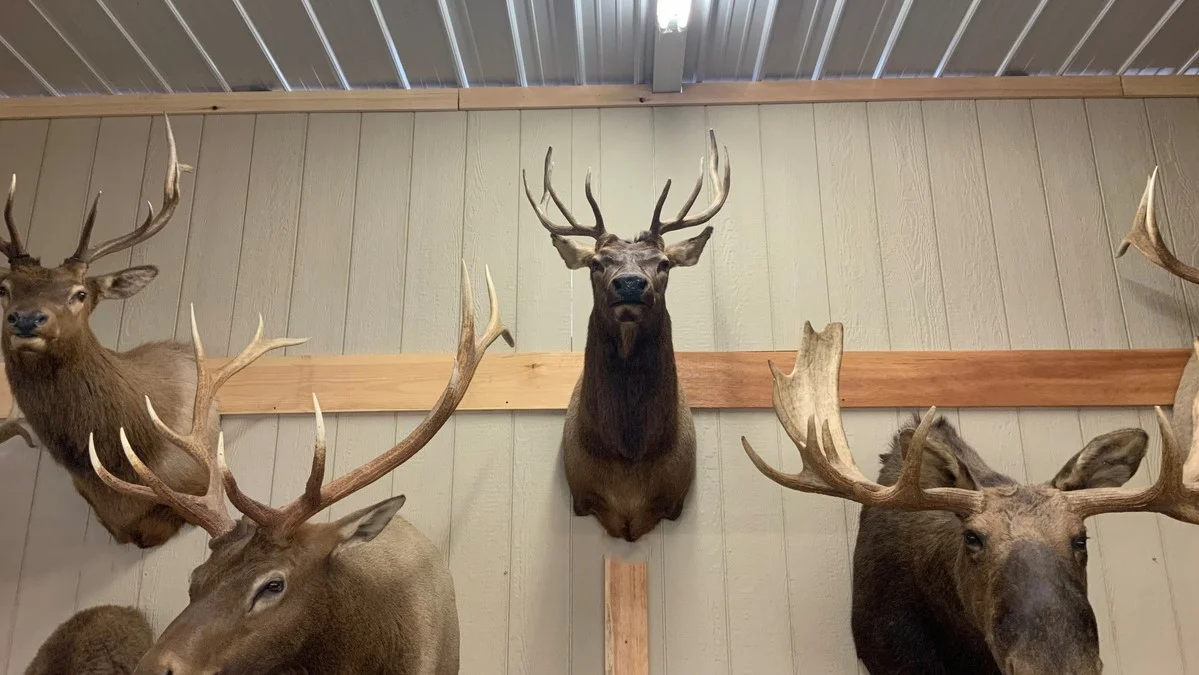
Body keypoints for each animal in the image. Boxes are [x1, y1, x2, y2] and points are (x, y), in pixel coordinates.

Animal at [522, 130, 730, 542]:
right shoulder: (582, 495)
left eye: (664, 264)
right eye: (596, 263)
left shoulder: (674, 498)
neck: (630, 456)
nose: (631, 283)